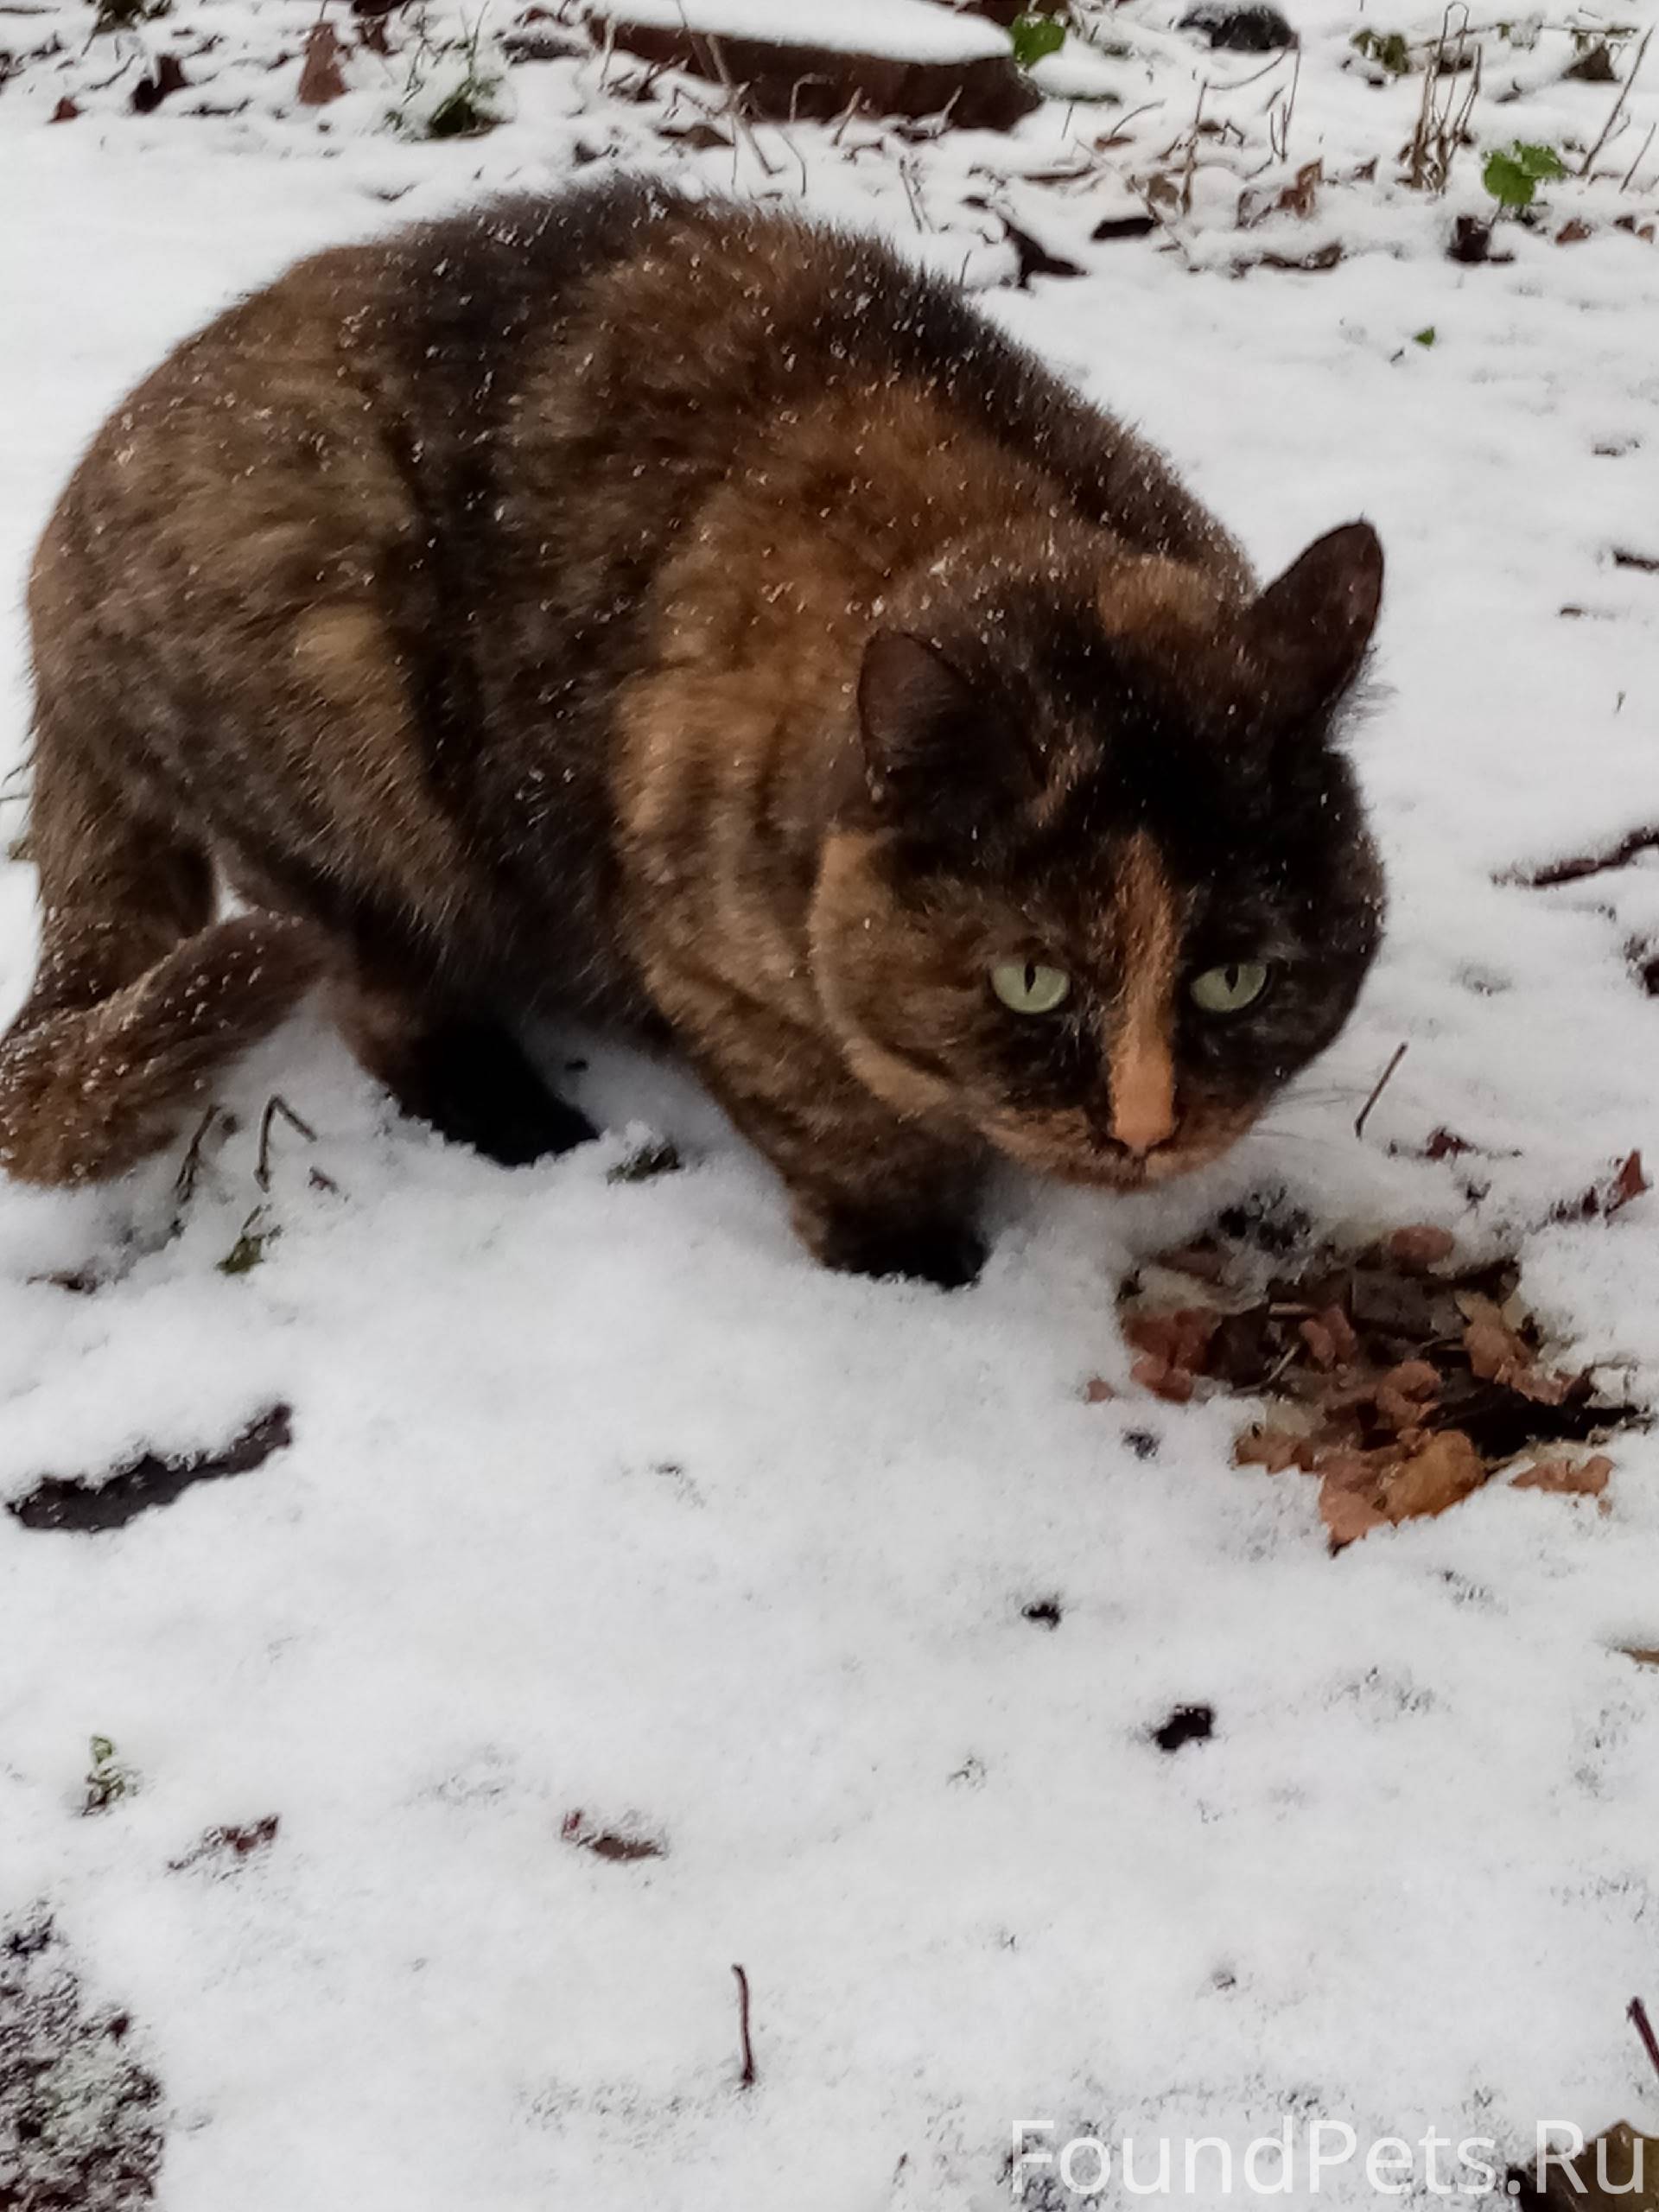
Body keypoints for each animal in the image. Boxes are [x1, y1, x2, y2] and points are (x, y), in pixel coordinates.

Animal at [0, 176, 1384, 1287]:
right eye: (1030, 980)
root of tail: (58, 558)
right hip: (344, 709)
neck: (1008, 531)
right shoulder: (710, 956)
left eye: (1237, 978)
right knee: (383, 995)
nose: (1144, 1126)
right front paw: (911, 1261)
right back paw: (527, 1127)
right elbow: (839, 1121)